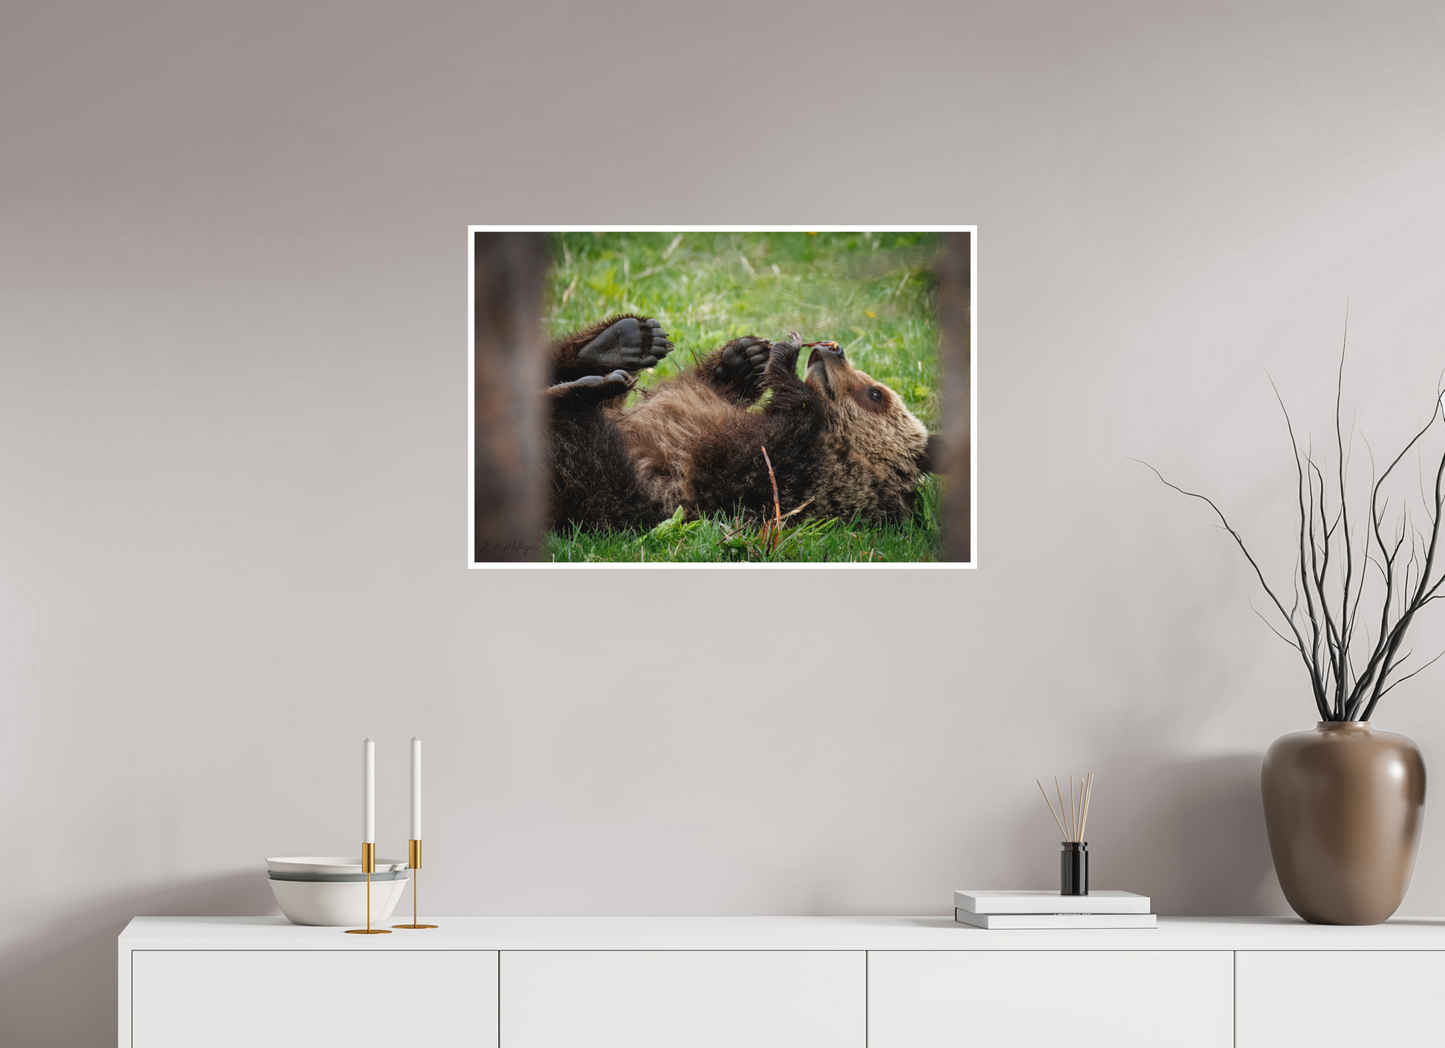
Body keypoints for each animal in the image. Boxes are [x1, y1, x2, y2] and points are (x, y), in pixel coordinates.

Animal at [544, 314, 942, 531]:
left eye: (876, 394)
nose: (833, 349)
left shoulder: (757, 475)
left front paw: (784, 356)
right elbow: (702, 389)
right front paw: (744, 359)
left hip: (596, 480)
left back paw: (590, 384)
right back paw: (621, 343)